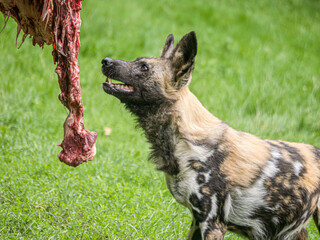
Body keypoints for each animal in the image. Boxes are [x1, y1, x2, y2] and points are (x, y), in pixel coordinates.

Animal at [101, 31, 320, 238]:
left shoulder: (212, 222)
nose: (105, 61)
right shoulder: (197, 221)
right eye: (137, 61)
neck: (184, 143)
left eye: (144, 68)